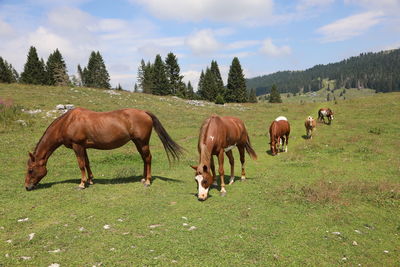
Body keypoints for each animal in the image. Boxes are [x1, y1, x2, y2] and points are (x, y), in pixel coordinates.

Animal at [25, 108, 185, 192]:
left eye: (30, 170)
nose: (27, 187)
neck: (67, 122)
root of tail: (145, 112)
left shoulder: (77, 146)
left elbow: (81, 165)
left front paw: (82, 183)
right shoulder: (83, 147)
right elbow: (87, 163)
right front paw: (90, 180)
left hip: (143, 142)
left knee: (148, 158)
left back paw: (148, 181)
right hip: (138, 143)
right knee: (144, 159)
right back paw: (143, 178)